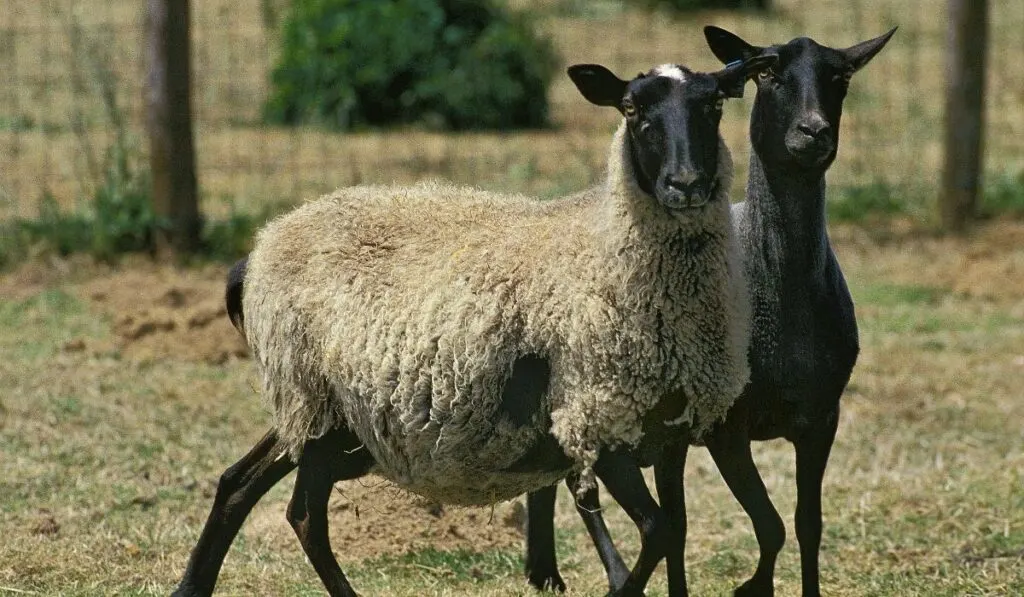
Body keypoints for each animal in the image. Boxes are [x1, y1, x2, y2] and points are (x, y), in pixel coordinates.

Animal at [172, 54, 778, 597]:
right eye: (631, 109)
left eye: (714, 104)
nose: (686, 184)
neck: (606, 244)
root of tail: (258, 249)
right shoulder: (597, 419)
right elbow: (659, 530)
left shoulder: (673, 426)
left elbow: (675, 532)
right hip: (313, 398)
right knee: (302, 511)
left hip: (330, 413)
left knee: (240, 483)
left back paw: (190, 587)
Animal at [522, 26, 897, 597]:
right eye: (769, 74)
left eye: (841, 77)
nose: (813, 132)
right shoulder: (726, 427)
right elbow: (767, 525)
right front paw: (750, 587)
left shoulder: (821, 418)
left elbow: (807, 524)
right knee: (578, 485)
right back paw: (561, 571)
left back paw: (552, 572)